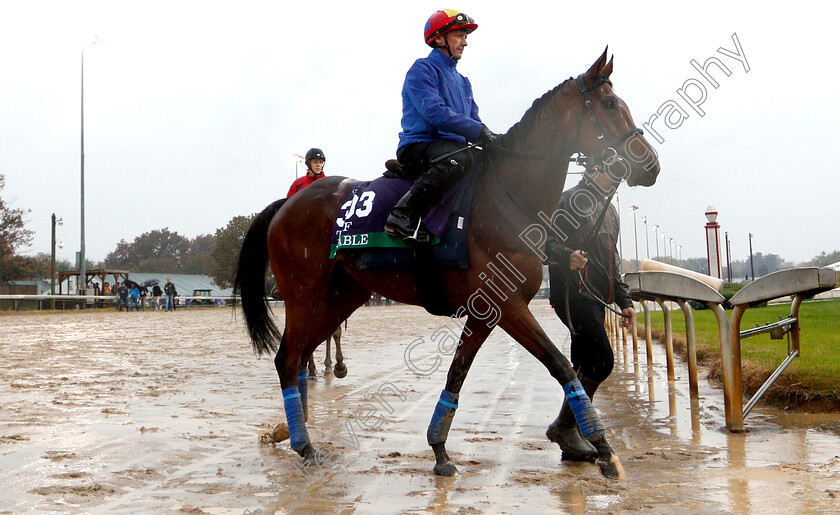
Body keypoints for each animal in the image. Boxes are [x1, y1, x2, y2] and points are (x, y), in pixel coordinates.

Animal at [233, 50, 660, 482]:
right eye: (610, 104)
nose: (651, 164)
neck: (507, 196)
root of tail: (287, 204)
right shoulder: (508, 306)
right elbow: (562, 367)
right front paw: (604, 448)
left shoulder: (487, 312)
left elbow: (458, 372)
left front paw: (439, 449)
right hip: (303, 294)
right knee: (288, 358)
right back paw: (303, 443)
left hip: (341, 296)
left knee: (301, 354)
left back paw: (291, 430)